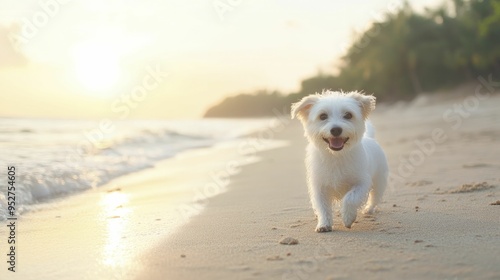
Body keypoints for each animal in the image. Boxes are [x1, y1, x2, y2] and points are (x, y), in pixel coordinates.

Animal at [292, 90, 388, 232]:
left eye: (348, 115)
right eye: (323, 116)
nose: (336, 129)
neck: (336, 156)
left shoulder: (361, 182)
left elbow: (350, 198)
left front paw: (348, 218)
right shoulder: (319, 187)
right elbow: (323, 207)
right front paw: (324, 224)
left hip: (379, 181)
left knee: (375, 197)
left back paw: (368, 210)